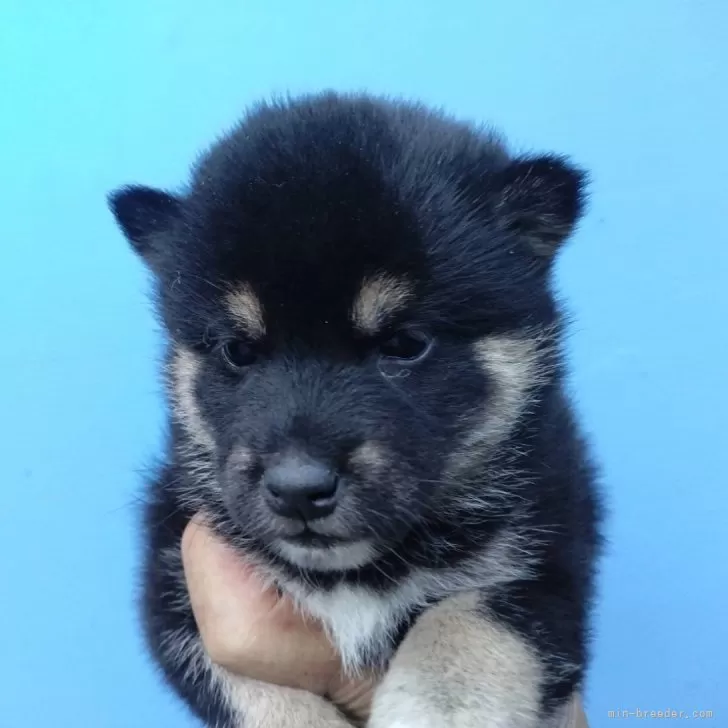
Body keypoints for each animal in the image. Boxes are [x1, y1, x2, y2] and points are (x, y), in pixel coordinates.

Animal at [108, 92, 604, 728]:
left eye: (406, 343)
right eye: (237, 351)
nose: (298, 490)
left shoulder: (548, 563)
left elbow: (464, 627)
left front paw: (432, 709)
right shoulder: (178, 592)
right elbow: (261, 694)